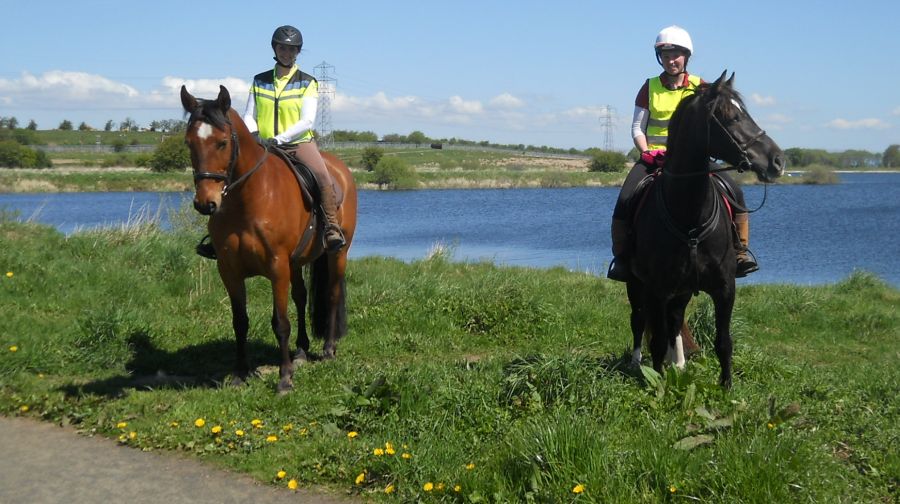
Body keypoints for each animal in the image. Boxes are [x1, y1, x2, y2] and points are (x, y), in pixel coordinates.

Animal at [179, 85, 358, 394]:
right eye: (190, 143)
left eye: (222, 143)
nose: (205, 203)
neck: (248, 200)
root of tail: (340, 170)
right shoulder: (229, 270)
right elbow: (240, 321)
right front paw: (240, 373)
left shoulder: (276, 267)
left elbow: (280, 323)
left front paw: (285, 379)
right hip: (296, 262)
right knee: (301, 297)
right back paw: (301, 351)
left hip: (337, 254)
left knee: (332, 294)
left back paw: (328, 349)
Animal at [624, 72, 780, 386]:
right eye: (732, 117)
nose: (777, 161)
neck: (690, 216)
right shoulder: (657, 289)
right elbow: (656, 341)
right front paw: (658, 386)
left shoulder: (725, 288)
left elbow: (723, 342)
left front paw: (726, 387)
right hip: (636, 284)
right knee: (639, 320)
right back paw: (637, 364)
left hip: (682, 290)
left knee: (674, 321)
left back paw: (680, 364)